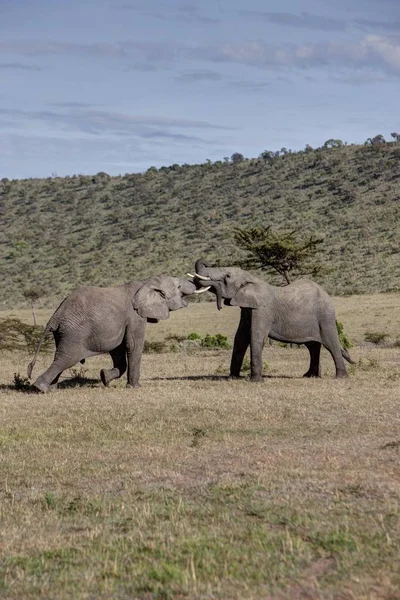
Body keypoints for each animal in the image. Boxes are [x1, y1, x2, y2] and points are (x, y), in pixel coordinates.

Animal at [27, 274, 206, 392]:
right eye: (178, 287)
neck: (145, 284)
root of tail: (55, 316)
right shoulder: (135, 317)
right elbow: (133, 346)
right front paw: (135, 387)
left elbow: (118, 350)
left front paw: (104, 377)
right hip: (75, 333)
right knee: (66, 359)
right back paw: (40, 388)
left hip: (63, 333)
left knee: (61, 358)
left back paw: (51, 389)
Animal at [190, 258, 354, 380]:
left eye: (227, 276)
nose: (210, 261)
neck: (251, 278)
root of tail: (326, 294)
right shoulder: (247, 309)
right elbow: (240, 338)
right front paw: (233, 378)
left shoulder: (262, 310)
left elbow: (255, 337)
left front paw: (256, 381)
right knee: (313, 346)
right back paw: (310, 376)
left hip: (325, 316)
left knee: (330, 343)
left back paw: (341, 377)